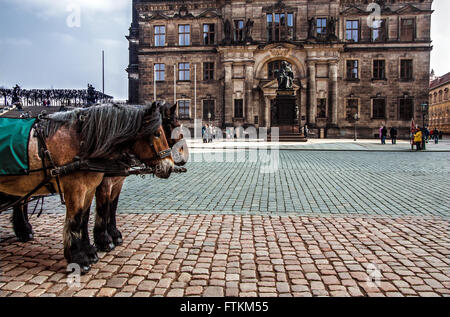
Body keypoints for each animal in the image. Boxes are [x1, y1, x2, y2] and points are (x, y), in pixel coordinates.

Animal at [0, 103, 174, 272]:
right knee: (21, 203)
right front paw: (84, 255)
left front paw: (94, 248)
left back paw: (24, 230)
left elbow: (95, 214)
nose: (170, 166)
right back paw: (24, 231)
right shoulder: (83, 188)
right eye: (157, 133)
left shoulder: (99, 186)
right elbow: (84, 217)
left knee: (21, 202)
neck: (83, 143)